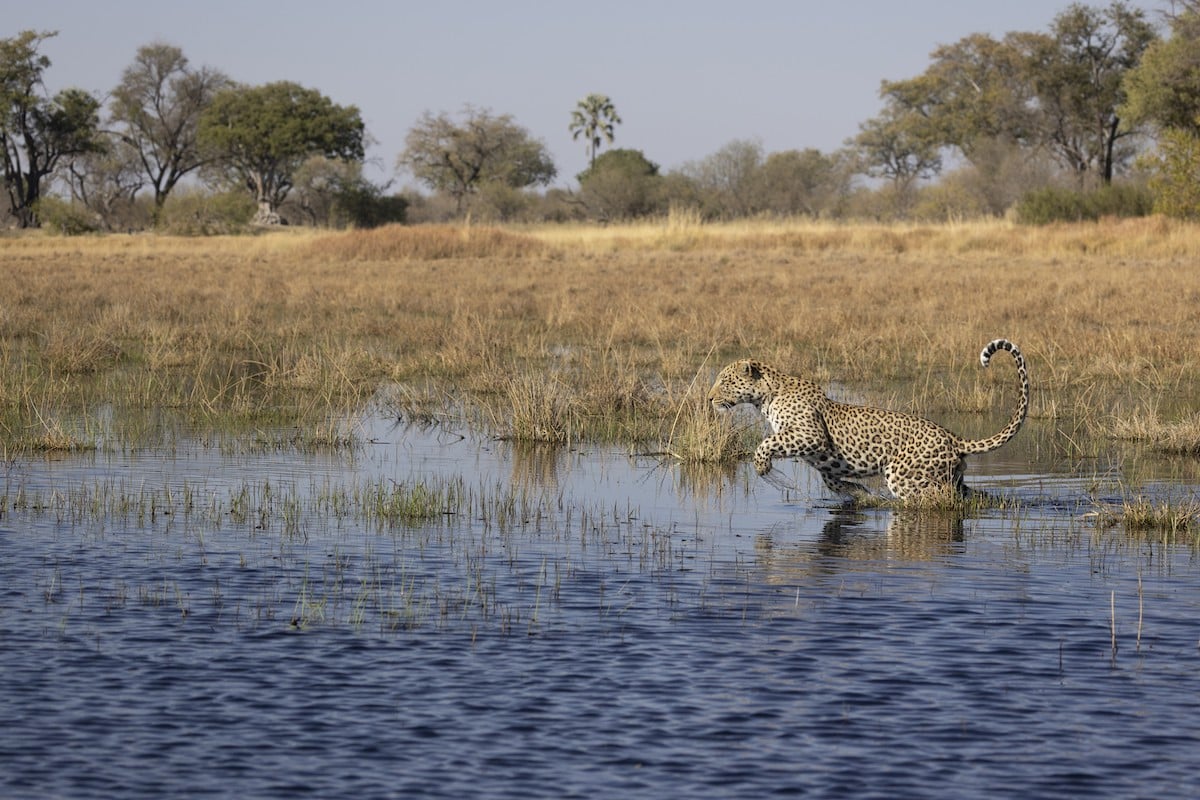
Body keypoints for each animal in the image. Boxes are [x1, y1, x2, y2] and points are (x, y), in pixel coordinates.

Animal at [707, 339, 1029, 502]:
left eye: (724, 381)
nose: (709, 399)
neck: (767, 397)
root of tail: (952, 436)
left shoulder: (810, 435)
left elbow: (767, 442)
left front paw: (762, 466)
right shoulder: (824, 462)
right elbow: (834, 482)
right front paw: (861, 495)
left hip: (904, 476)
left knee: (940, 500)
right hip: (951, 475)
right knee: (970, 497)